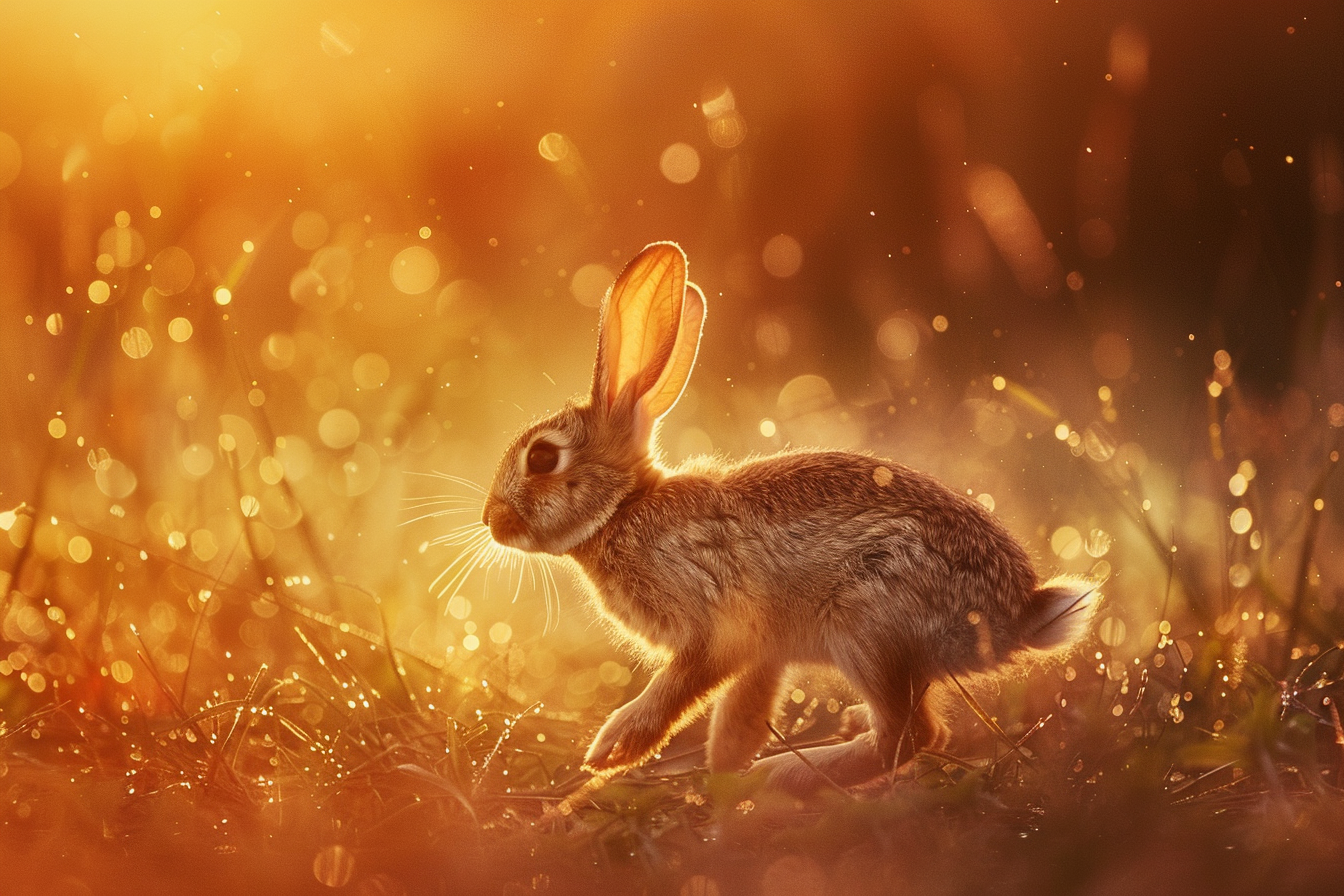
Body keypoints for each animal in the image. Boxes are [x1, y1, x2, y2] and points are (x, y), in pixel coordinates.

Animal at [480, 241, 1099, 791]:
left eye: (542, 457)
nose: (491, 519)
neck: (623, 510)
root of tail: (1018, 614)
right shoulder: (763, 653)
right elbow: (739, 713)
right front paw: (723, 776)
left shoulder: (713, 628)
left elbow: (675, 690)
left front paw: (612, 750)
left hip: (866, 624)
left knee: (911, 736)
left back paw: (787, 775)